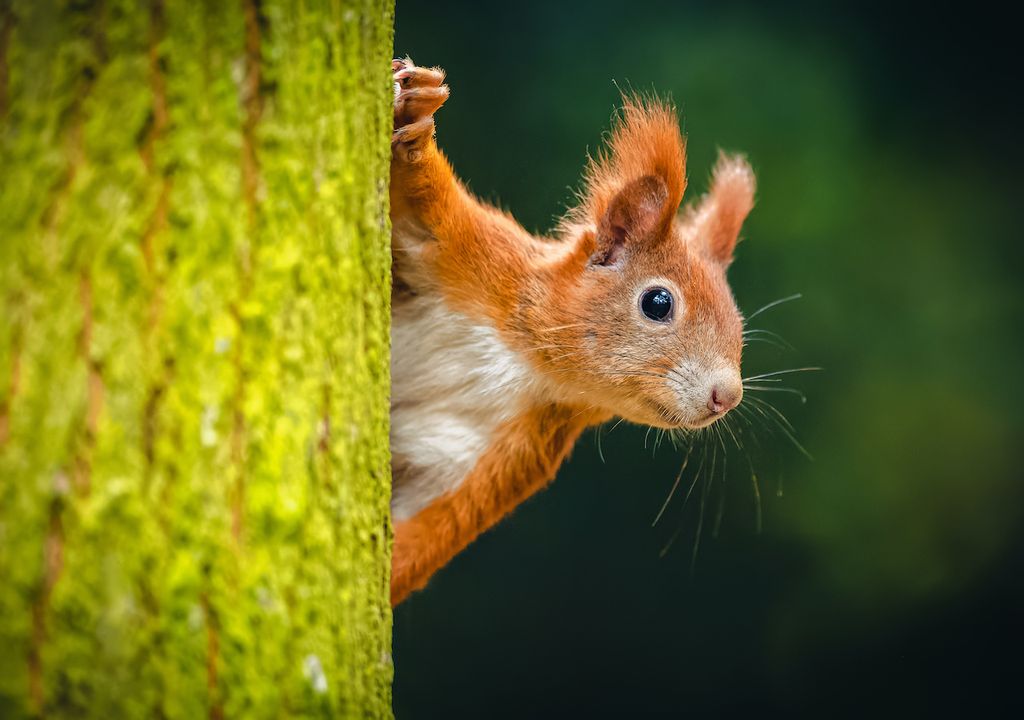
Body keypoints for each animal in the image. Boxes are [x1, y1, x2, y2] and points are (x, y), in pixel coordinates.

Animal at [387, 57, 757, 606]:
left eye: (739, 325)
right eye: (658, 303)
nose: (727, 396)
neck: (526, 363)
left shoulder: (507, 454)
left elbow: (428, 530)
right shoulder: (474, 257)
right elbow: (424, 205)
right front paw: (415, 119)